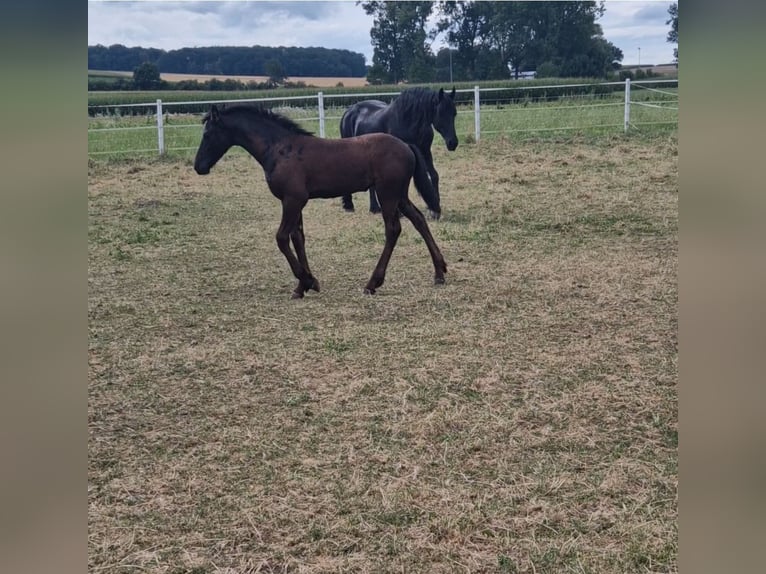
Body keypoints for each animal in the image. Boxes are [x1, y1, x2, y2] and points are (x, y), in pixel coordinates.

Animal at [192, 104, 448, 302]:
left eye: (207, 135)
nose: (198, 166)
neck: (281, 149)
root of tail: (406, 145)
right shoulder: (295, 202)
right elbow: (298, 238)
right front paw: (302, 286)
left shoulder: (293, 200)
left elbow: (282, 238)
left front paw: (307, 281)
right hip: (399, 196)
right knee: (419, 219)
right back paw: (439, 272)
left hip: (388, 195)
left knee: (393, 229)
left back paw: (372, 283)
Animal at [340, 86, 460, 219]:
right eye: (441, 113)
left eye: (454, 113)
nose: (453, 143)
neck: (408, 121)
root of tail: (349, 111)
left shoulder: (425, 151)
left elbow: (433, 175)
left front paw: (434, 210)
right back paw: (352, 205)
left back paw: (374, 208)